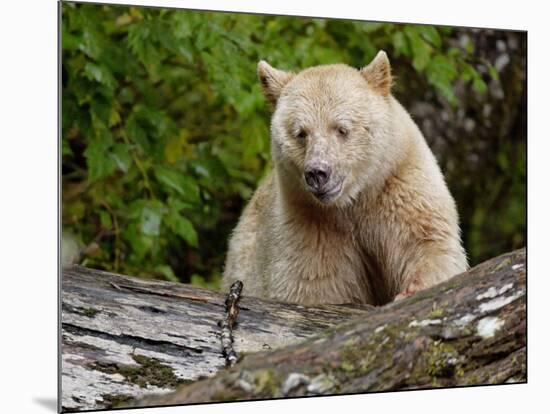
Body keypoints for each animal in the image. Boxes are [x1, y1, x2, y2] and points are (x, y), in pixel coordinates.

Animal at [222, 50, 468, 306]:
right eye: (301, 133)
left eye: (342, 128)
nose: (317, 173)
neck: (352, 201)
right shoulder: (308, 224)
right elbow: (314, 283)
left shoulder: (400, 186)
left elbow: (428, 244)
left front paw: (410, 291)